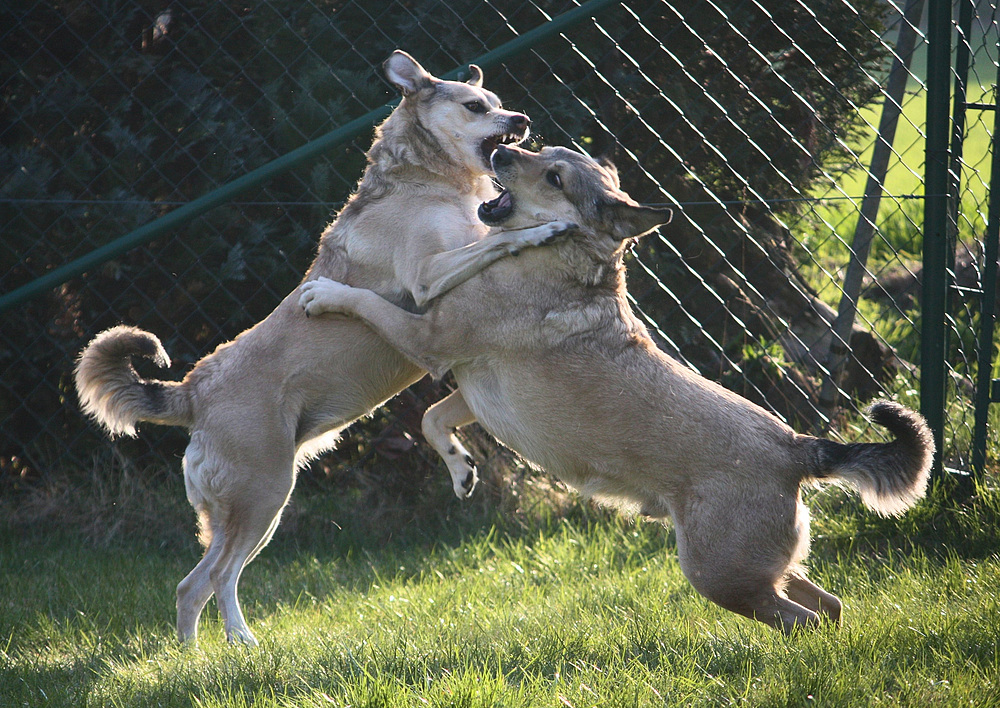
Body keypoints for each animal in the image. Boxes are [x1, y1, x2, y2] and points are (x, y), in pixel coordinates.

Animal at [75, 52, 572, 644]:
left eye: (498, 102)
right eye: (476, 106)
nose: (521, 120)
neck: (425, 181)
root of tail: (192, 392)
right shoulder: (428, 275)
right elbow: (499, 239)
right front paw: (545, 227)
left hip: (254, 509)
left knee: (199, 583)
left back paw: (212, 649)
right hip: (263, 494)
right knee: (211, 579)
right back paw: (227, 650)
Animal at [300, 144, 932, 632]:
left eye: (554, 178)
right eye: (541, 152)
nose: (500, 151)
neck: (556, 254)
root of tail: (798, 448)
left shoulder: (430, 338)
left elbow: (368, 305)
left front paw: (324, 294)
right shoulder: (470, 387)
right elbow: (433, 420)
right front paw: (461, 471)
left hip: (719, 574)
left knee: (802, 620)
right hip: (764, 564)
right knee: (830, 604)